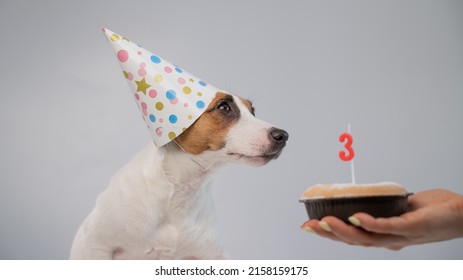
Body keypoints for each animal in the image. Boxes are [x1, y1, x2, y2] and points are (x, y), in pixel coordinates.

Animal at [70, 91, 288, 258]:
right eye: (224, 107)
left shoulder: (213, 254)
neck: (179, 192)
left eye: (253, 111)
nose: (283, 136)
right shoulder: (95, 246)